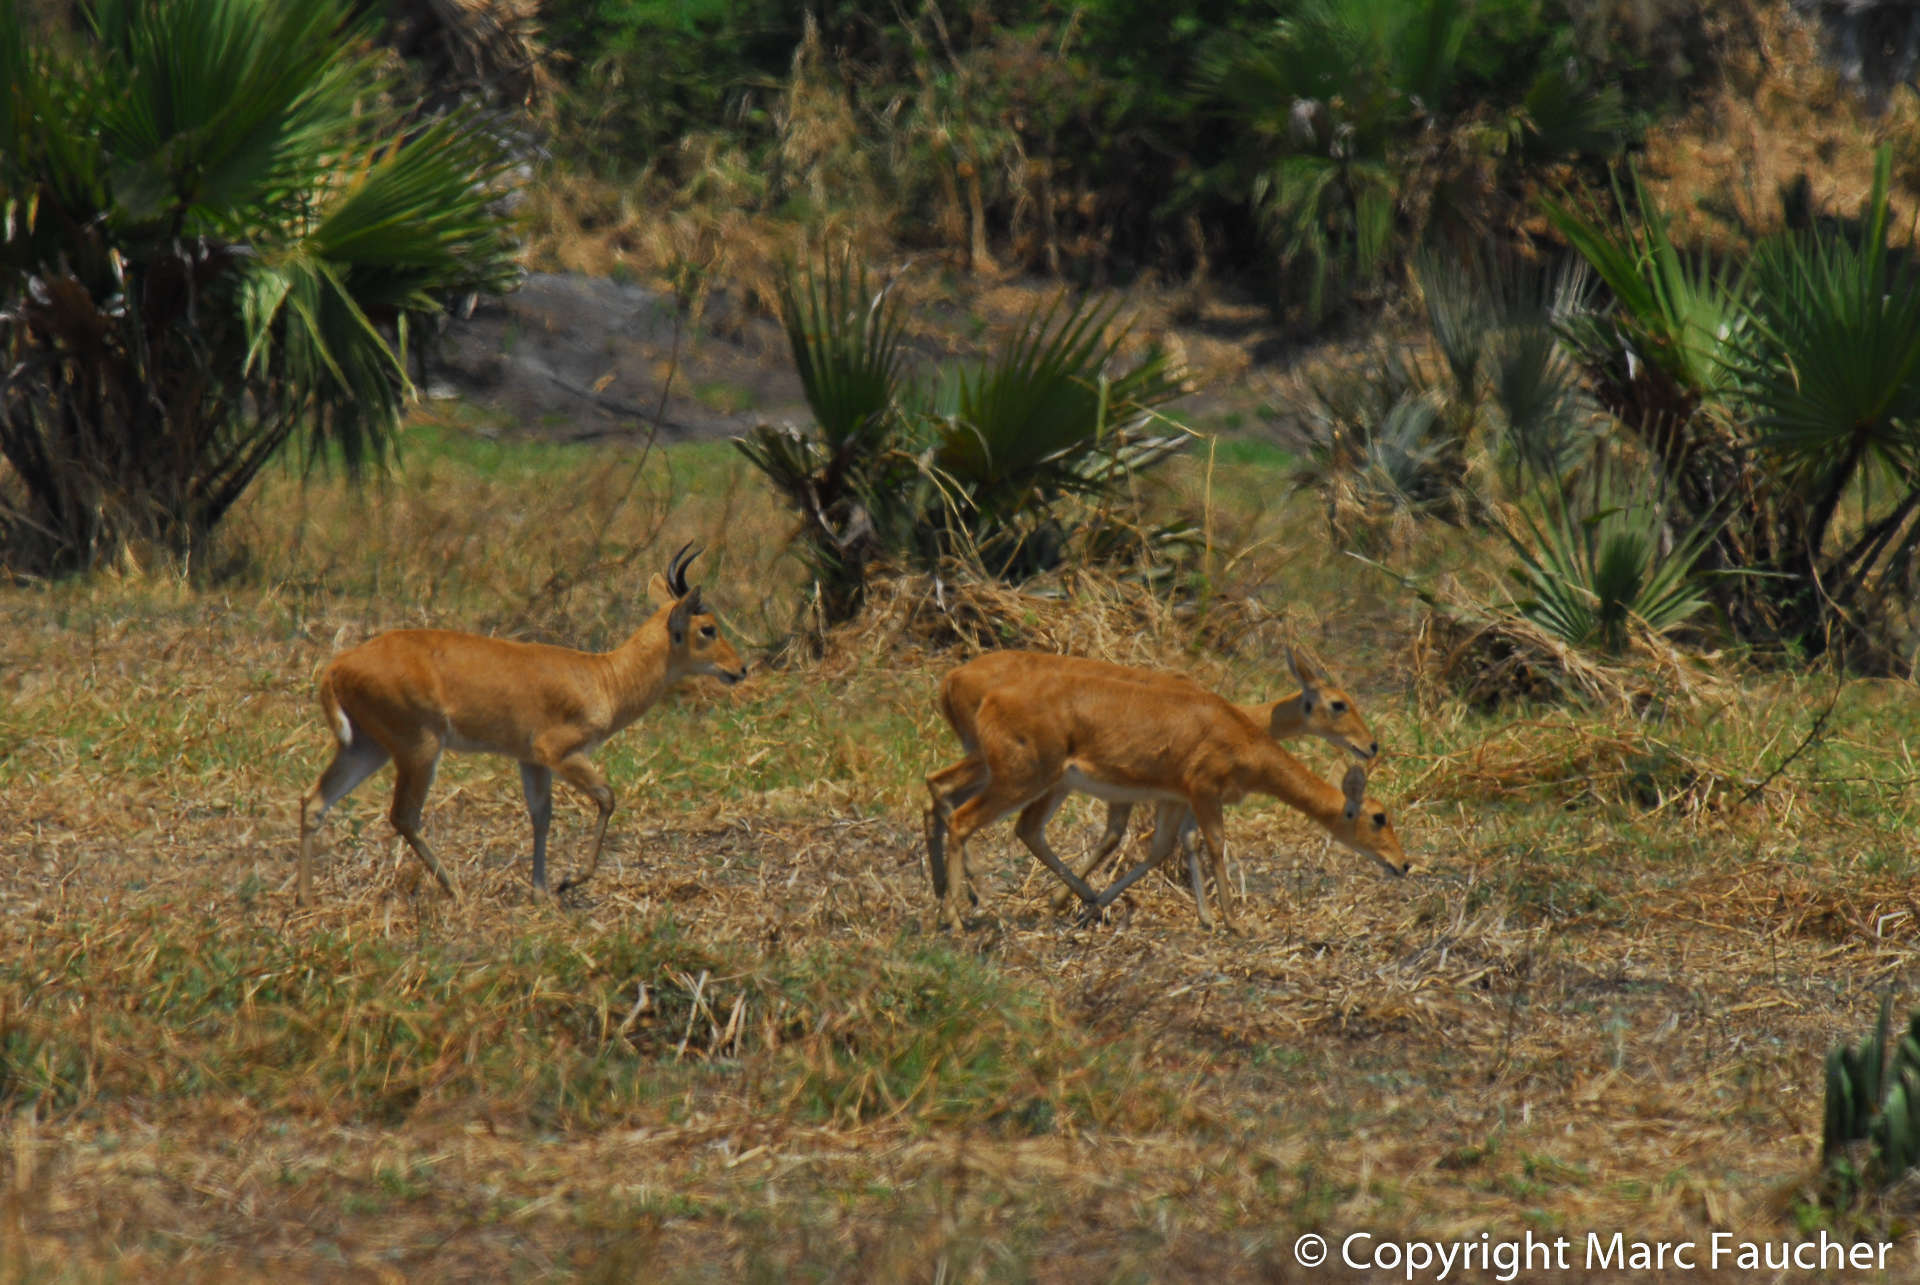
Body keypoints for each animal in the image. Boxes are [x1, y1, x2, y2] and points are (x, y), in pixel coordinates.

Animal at [295, 541, 744, 902]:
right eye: (708, 628)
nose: (740, 669)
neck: (603, 677)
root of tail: (338, 666)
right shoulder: (560, 753)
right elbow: (607, 796)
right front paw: (568, 882)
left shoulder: (531, 761)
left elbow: (541, 816)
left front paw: (541, 890)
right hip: (419, 748)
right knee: (403, 815)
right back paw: (455, 890)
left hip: (366, 747)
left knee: (315, 801)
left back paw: (306, 898)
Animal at [929, 660, 1413, 933]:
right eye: (1378, 816)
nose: (1403, 863)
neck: (1241, 729)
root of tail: (953, 679)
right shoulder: (1202, 792)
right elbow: (1213, 845)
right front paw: (1235, 924)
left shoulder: (1175, 799)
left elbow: (1165, 847)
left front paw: (1097, 908)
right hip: (1020, 778)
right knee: (965, 818)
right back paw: (959, 914)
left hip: (1026, 779)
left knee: (959, 798)